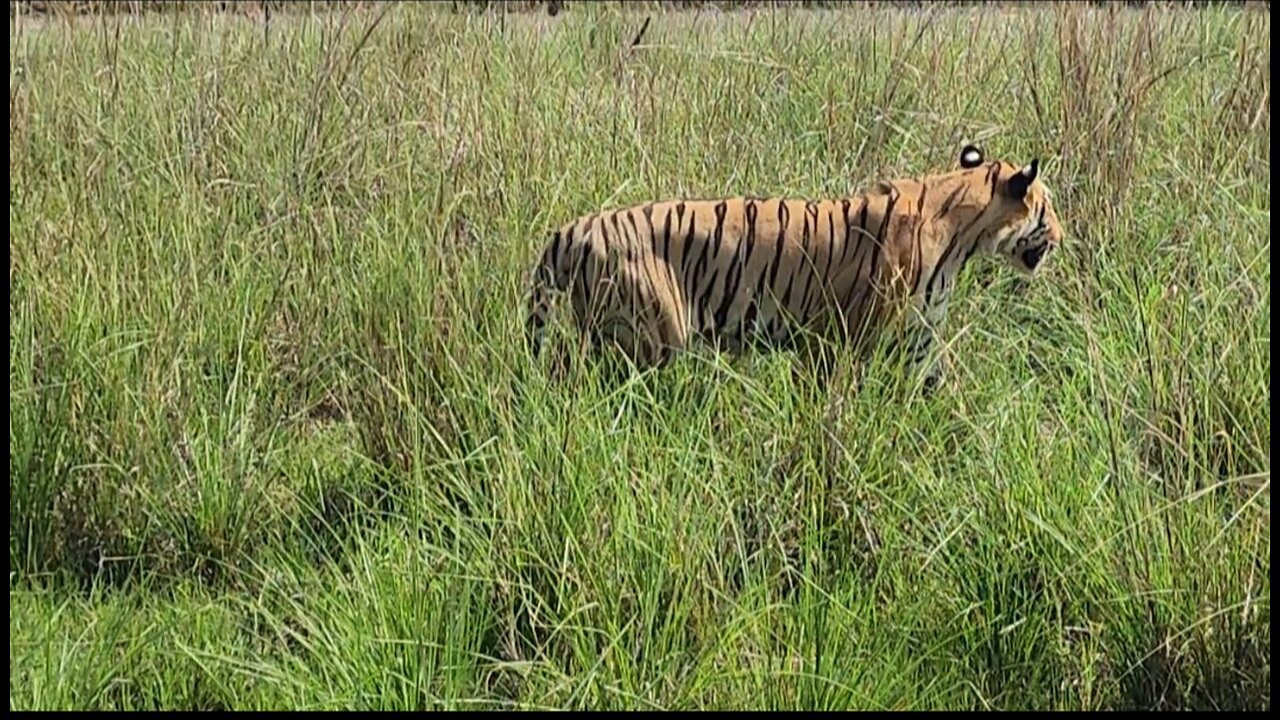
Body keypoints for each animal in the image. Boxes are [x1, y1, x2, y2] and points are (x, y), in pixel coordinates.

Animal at [519, 143, 1059, 389]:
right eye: (1048, 208)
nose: (1061, 235)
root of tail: (570, 230)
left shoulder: (919, 336)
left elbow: (942, 387)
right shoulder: (845, 336)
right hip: (649, 336)